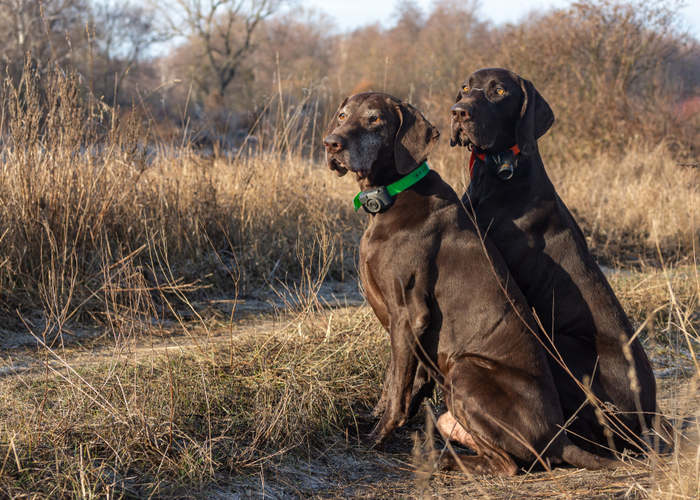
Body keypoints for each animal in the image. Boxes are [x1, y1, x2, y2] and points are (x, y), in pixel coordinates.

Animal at [322, 92, 616, 474]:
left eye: (375, 120)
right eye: (343, 116)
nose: (331, 143)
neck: (393, 194)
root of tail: (560, 437)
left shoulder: (408, 314)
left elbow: (398, 392)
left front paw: (376, 438)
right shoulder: (401, 327)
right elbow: (392, 379)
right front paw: (370, 419)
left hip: (464, 370)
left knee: (507, 465)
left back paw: (442, 459)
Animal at [452, 68, 660, 456]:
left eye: (499, 91)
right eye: (465, 87)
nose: (459, 112)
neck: (499, 173)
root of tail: (647, 420)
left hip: (561, 345)